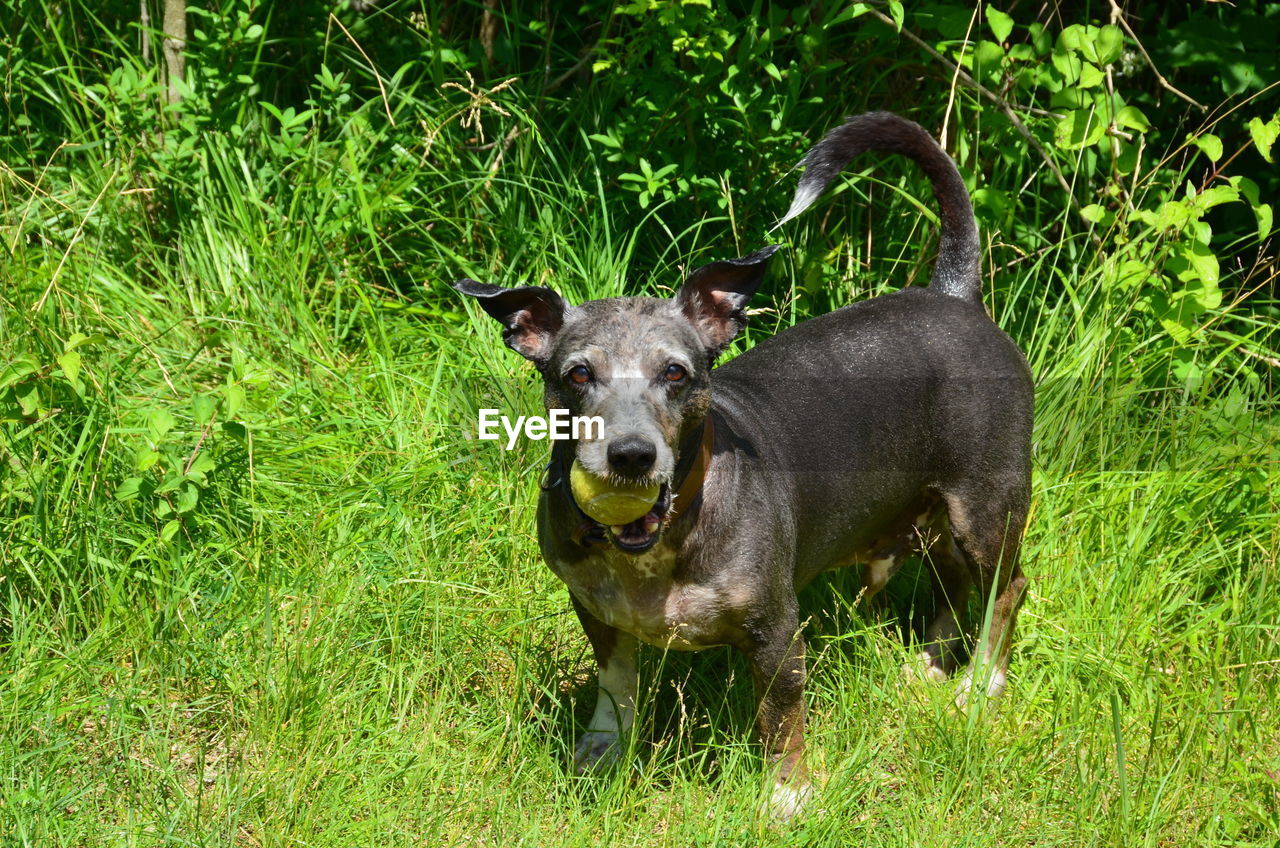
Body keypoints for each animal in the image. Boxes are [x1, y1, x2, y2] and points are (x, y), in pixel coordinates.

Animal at [455, 111, 1034, 819]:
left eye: (676, 373)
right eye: (578, 374)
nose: (630, 455)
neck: (661, 543)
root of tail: (956, 296)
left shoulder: (778, 633)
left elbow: (780, 720)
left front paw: (787, 796)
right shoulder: (594, 609)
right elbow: (617, 686)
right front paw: (606, 747)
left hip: (985, 506)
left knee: (1006, 587)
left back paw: (980, 683)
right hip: (930, 512)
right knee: (952, 578)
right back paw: (930, 661)